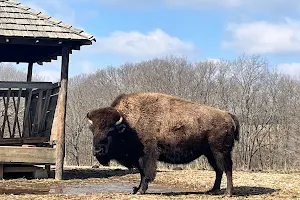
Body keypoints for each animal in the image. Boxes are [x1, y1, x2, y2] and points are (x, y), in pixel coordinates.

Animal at [86, 93, 239, 196]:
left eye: (111, 130)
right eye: (93, 130)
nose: (98, 151)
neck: (129, 124)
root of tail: (228, 115)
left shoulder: (147, 156)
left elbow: (146, 173)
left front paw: (141, 190)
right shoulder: (139, 158)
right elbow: (141, 173)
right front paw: (136, 190)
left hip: (221, 151)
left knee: (227, 168)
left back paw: (228, 193)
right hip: (210, 154)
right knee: (218, 170)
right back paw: (213, 190)